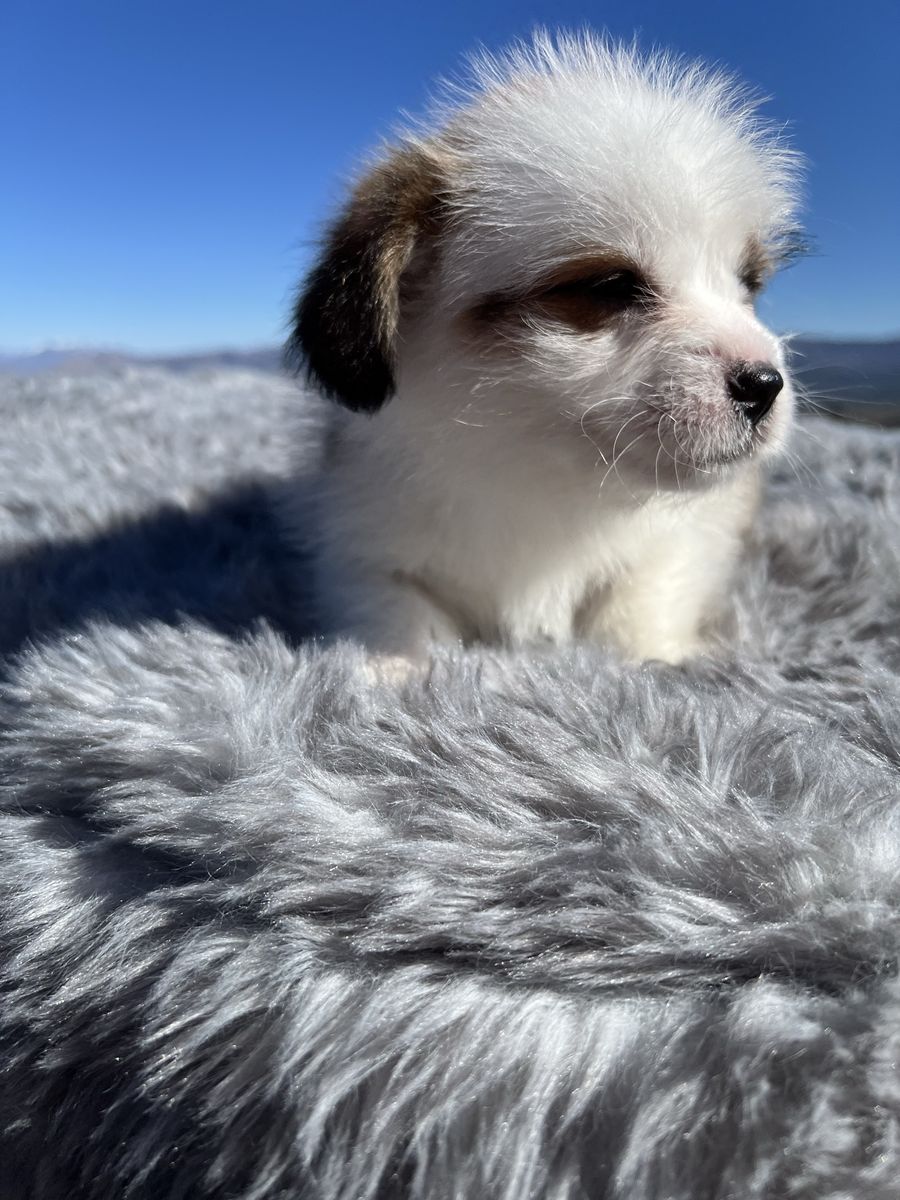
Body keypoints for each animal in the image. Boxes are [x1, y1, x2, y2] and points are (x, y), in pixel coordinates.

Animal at [286, 33, 803, 665]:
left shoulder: (684, 540)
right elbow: (400, 613)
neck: (539, 484)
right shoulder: (361, 547)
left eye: (748, 284)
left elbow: (635, 604)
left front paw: (648, 657)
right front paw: (392, 667)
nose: (764, 384)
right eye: (609, 287)